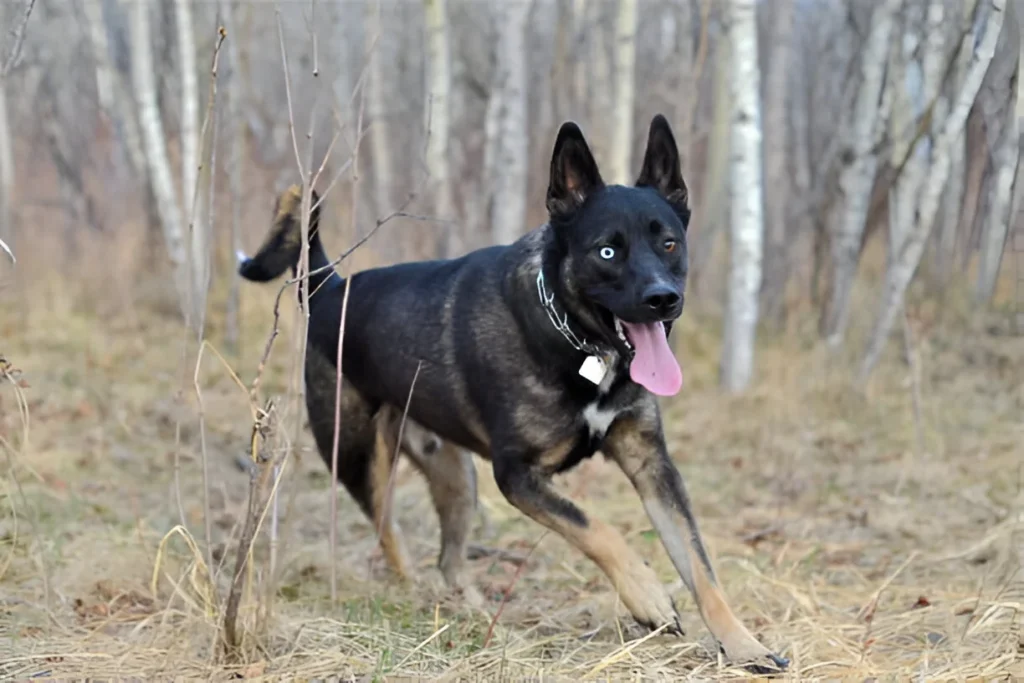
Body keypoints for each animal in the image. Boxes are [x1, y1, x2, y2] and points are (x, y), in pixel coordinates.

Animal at [237, 114, 782, 671]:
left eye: (669, 244)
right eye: (607, 251)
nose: (663, 300)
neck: (575, 339)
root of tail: (328, 286)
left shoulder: (652, 466)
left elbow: (700, 566)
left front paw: (745, 645)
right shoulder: (517, 475)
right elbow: (596, 528)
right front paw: (647, 594)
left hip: (457, 479)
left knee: (450, 560)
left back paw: (472, 613)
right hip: (363, 460)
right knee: (389, 535)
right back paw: (414, 597)